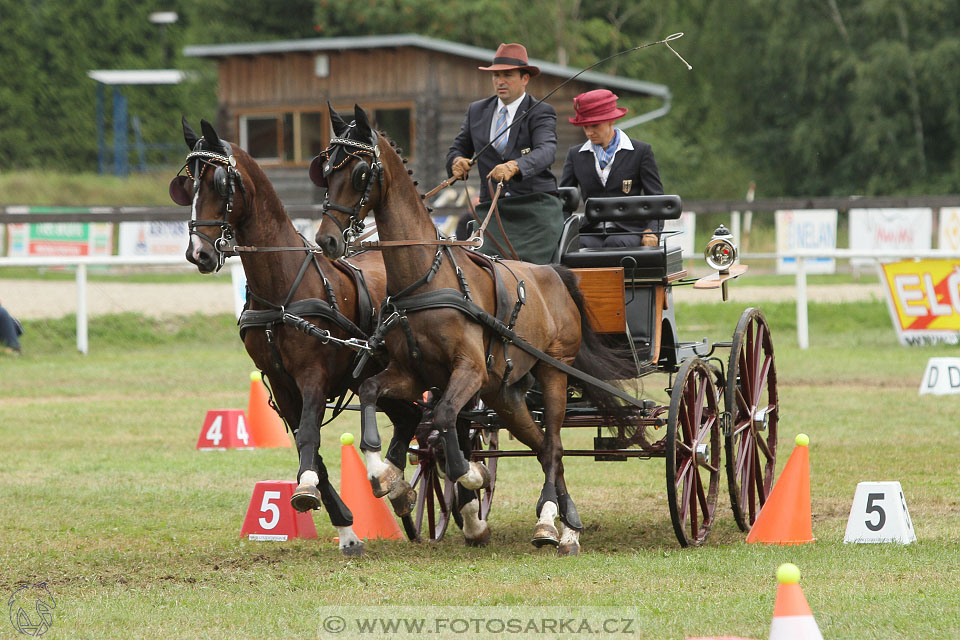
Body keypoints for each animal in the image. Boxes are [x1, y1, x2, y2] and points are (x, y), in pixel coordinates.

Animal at [172, 119, 424, 556]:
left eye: (220, 182)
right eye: (188, 185)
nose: (198, 254)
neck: (282, 289)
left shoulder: (313, 375)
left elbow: (309, 434)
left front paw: (306, 489)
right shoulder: (280, 381)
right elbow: (310, 448)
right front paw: (346, 528)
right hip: (371, 376)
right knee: (411, 416)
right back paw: (396, 485)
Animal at [312, 105, 632, 556]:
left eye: (359, 173)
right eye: (325, 169)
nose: (326, 239)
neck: (426, 278)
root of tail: (554, 272)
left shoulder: (469, 371)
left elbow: (447, 415)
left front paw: (470, 474)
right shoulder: (413, 374)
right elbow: (375, 393)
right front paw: (384, 474)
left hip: (553, 372)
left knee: (553, 445)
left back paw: (552, 523)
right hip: (505, 393)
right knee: (542, 446)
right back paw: (566, 523)